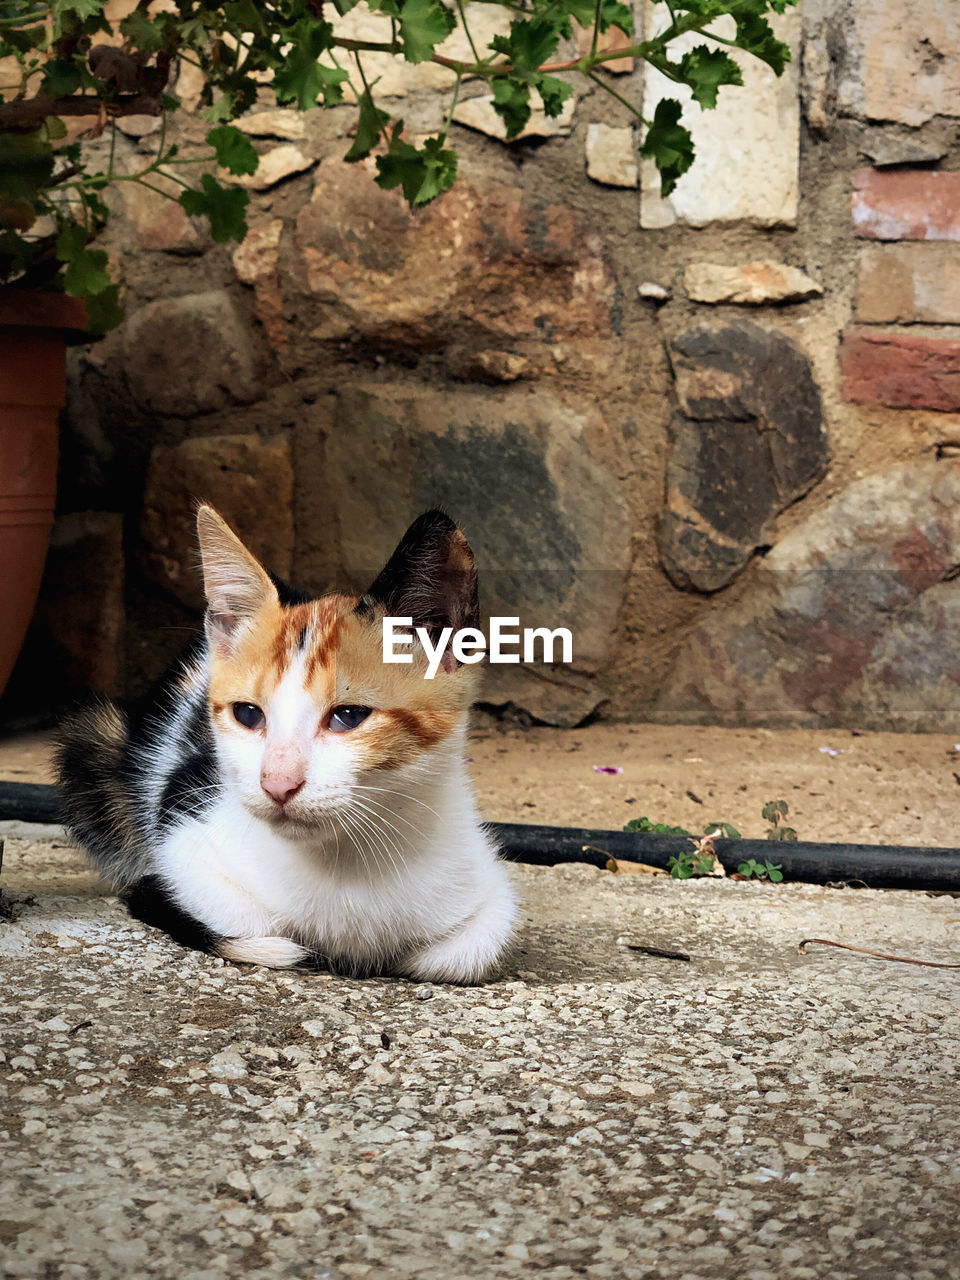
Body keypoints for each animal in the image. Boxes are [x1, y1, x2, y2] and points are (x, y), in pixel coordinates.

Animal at [54, 501, 519, 977]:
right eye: (247, 714)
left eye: (349, 716)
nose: (277, 784)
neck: (346, 862)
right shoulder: (183, 843)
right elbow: (241, 918)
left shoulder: (489, 888)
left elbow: (464, 952)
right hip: (96, 739)